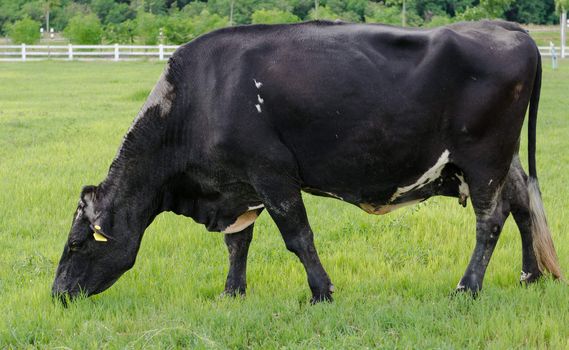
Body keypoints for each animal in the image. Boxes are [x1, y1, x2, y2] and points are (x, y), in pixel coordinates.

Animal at [54, 19, 564, 304]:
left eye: (77, 244)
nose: (57, 294)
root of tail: (506, 28)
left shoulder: (272, 174)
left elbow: (298, 237)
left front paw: (322, 292)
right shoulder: (240, 185)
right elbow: (238, 243)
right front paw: (232, 292)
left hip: (483, 160)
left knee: (490, 221)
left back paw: (467, 288)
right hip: (503, 162)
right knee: (522, 206)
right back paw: (530, 275)